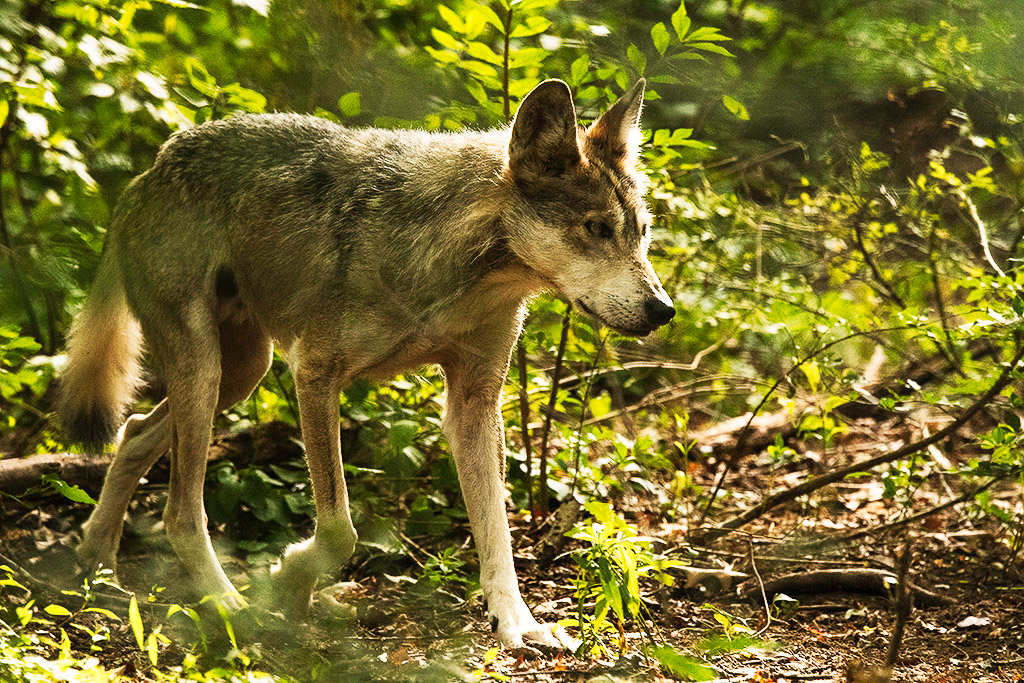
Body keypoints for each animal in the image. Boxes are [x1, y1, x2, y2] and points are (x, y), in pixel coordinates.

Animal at [59, 77, 675, 651]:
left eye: (642, 233)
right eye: (596, 228)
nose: (663, 309)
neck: (455, 268)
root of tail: (150, 170)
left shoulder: (474, 405)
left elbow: (496, 533)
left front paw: (516, 622)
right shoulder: (314, 374)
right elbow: (340, 530)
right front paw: (289, 579)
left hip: (239, 374)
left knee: (134, 433)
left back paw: (94, 560)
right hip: (209, 373)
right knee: (181, 511)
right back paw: (227, 603)